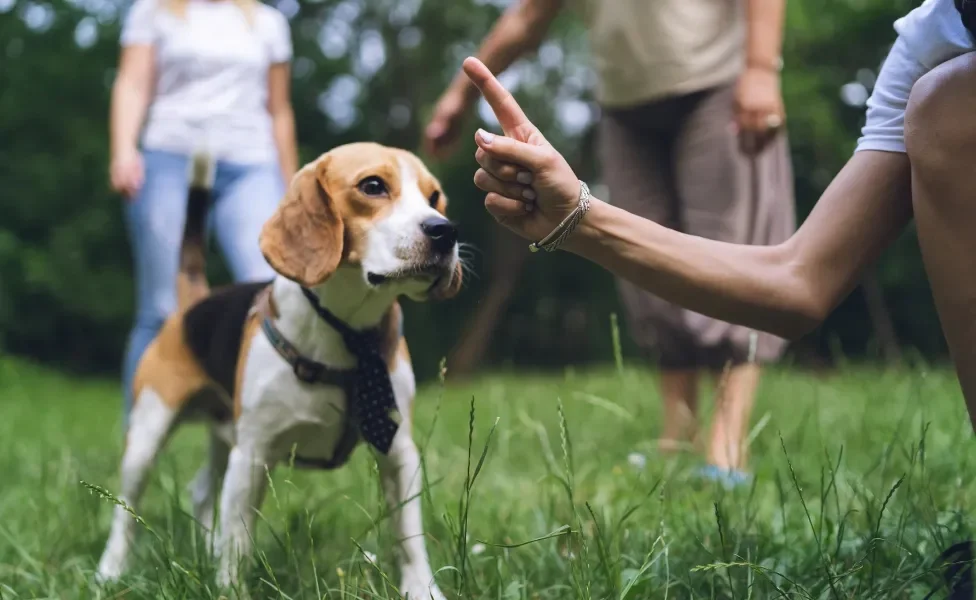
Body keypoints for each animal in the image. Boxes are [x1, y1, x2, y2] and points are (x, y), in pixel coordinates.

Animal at [95, 142, 462, 600]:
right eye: (373, 186)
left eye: (435, 197)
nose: (446, 231)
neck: (347, 332)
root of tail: (195, 300)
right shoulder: (253, 455)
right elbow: (239, 541)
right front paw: (230, 588)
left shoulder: (398, 452)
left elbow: (409, 537)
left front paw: (422, 590)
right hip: (148, 433)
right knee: (126, 512)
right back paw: (110, 570)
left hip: (224, 436)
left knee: (201, 490)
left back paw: (205, 547)